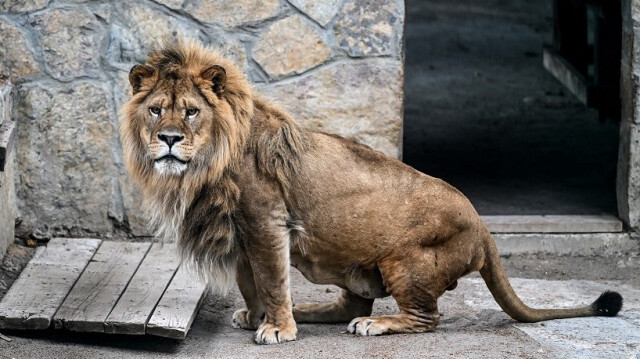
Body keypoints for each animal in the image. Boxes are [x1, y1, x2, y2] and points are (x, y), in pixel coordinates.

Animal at [119, 41, 620, 346]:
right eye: (156, 110)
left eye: (191, 112)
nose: (168, 139)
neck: (207, 164)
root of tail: (483, 227)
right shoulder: (242, 229)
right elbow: (251, 280)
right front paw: (259, 315)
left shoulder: (265, 219)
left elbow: (272, 278)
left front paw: (277, 328)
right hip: (348, 260)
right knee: (350, 302)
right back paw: (312, 309)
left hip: (404, 260)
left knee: (422, 318)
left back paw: (373, 324)